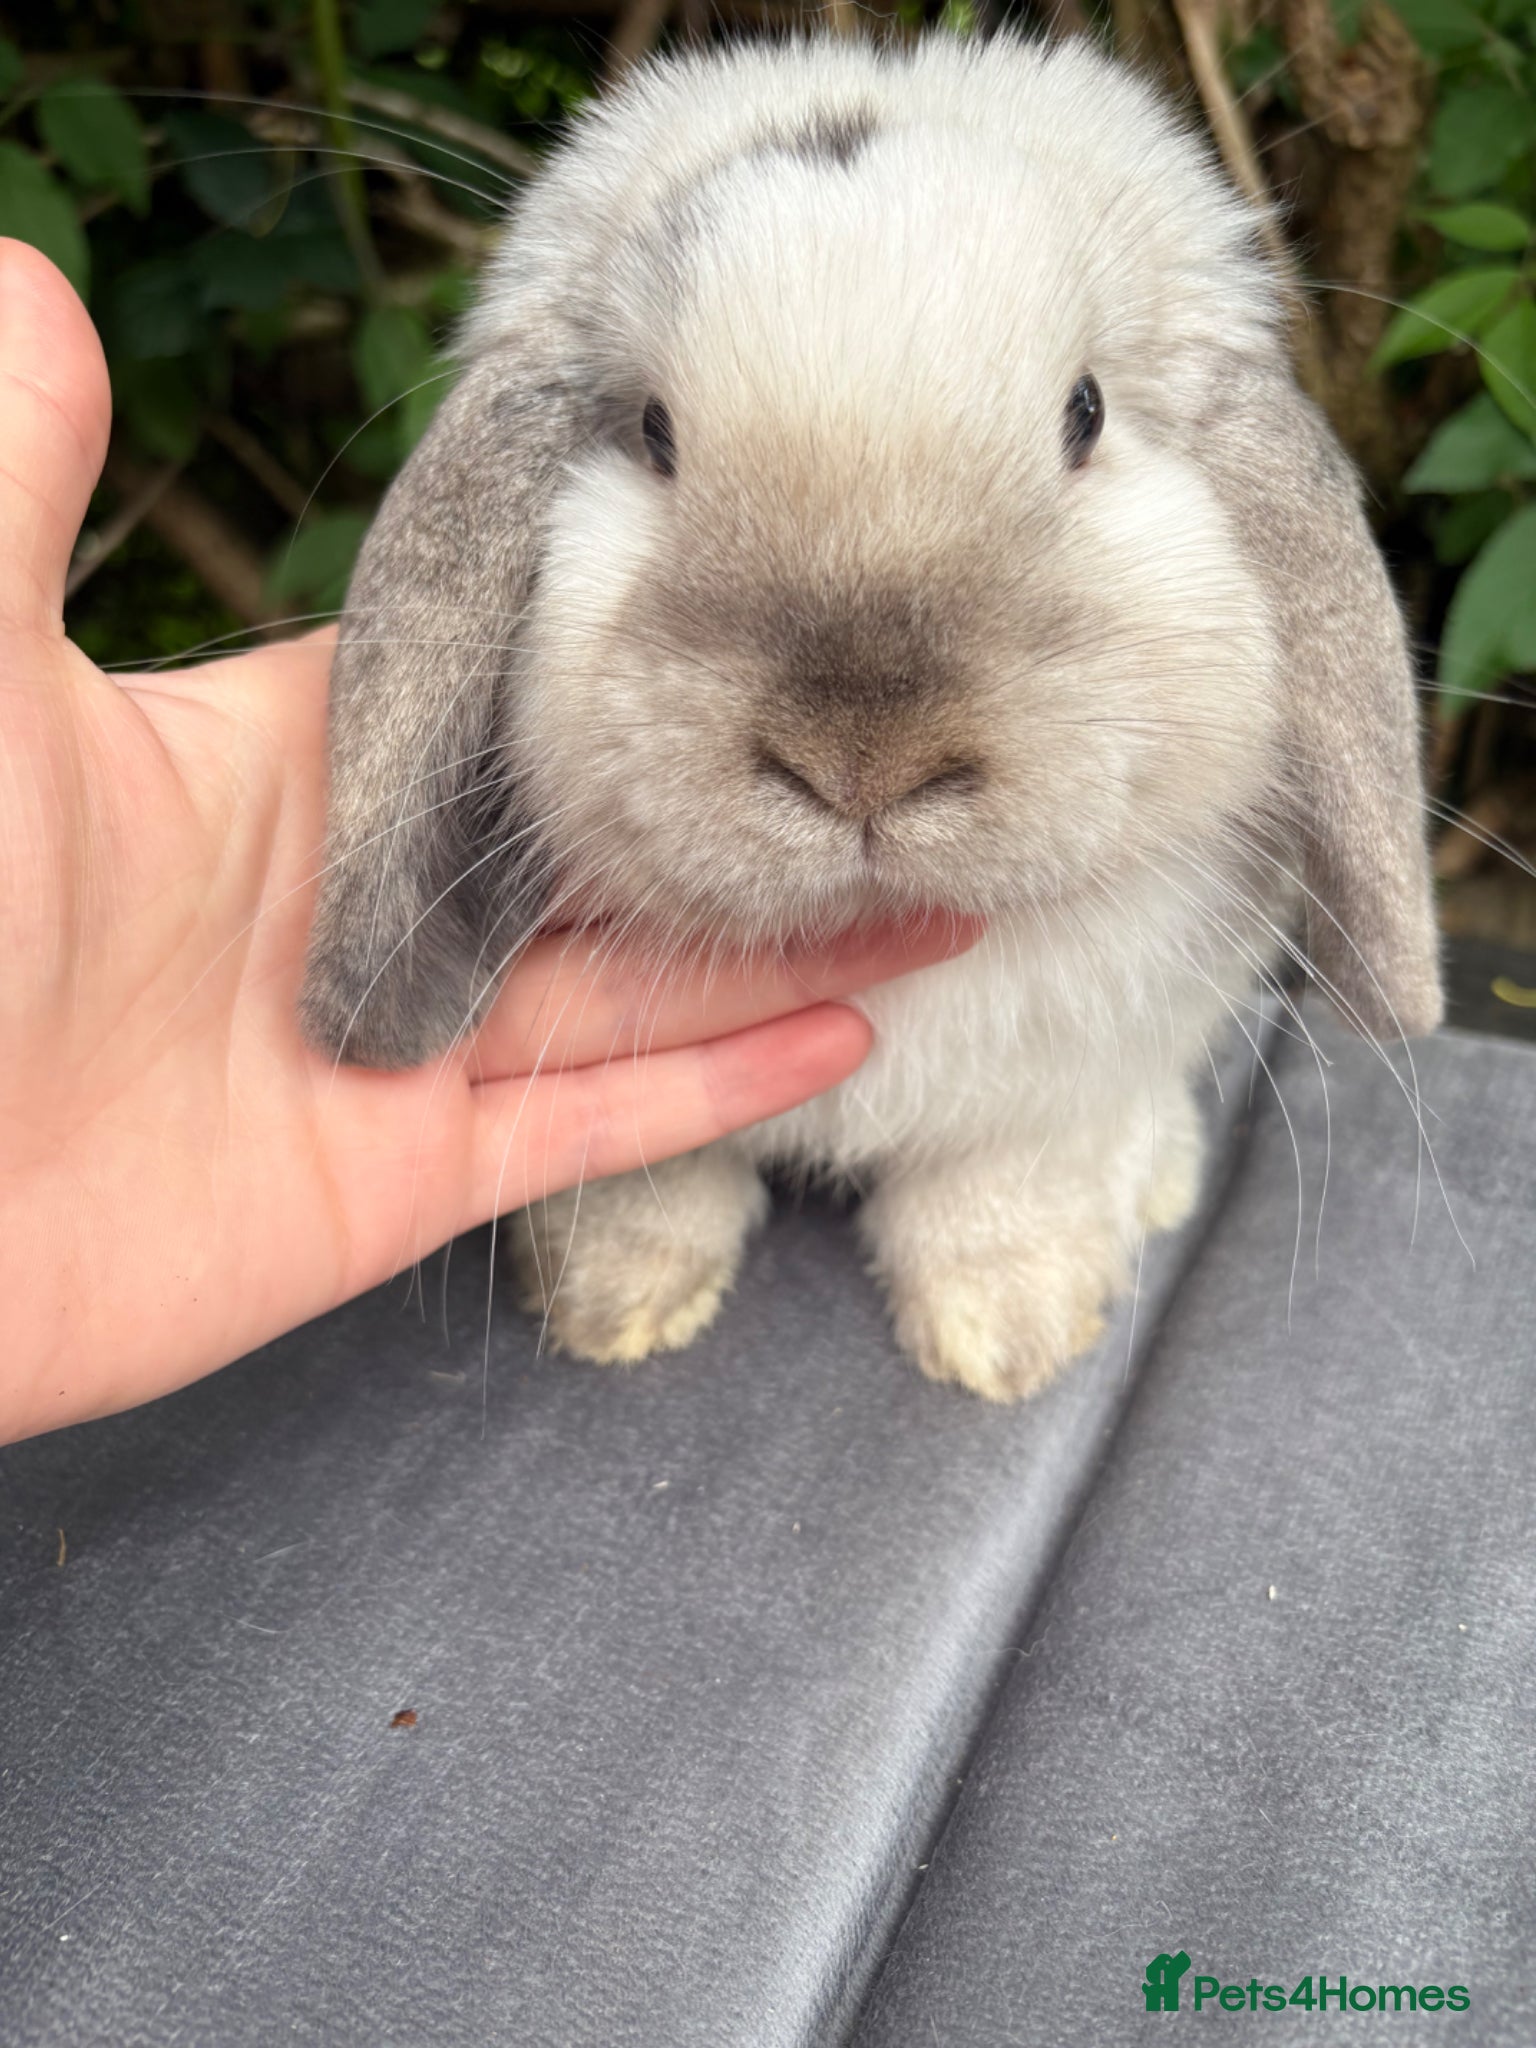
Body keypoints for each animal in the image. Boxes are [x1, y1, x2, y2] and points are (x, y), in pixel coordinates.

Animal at [299, 30, 1442, 1402]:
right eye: (654, 433)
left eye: (1087, 412)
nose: (863, 762)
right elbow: (648, 1182)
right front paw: (617, 1307)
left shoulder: (1060, 1082)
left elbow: (1001, 1191)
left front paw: (1010, 1338)